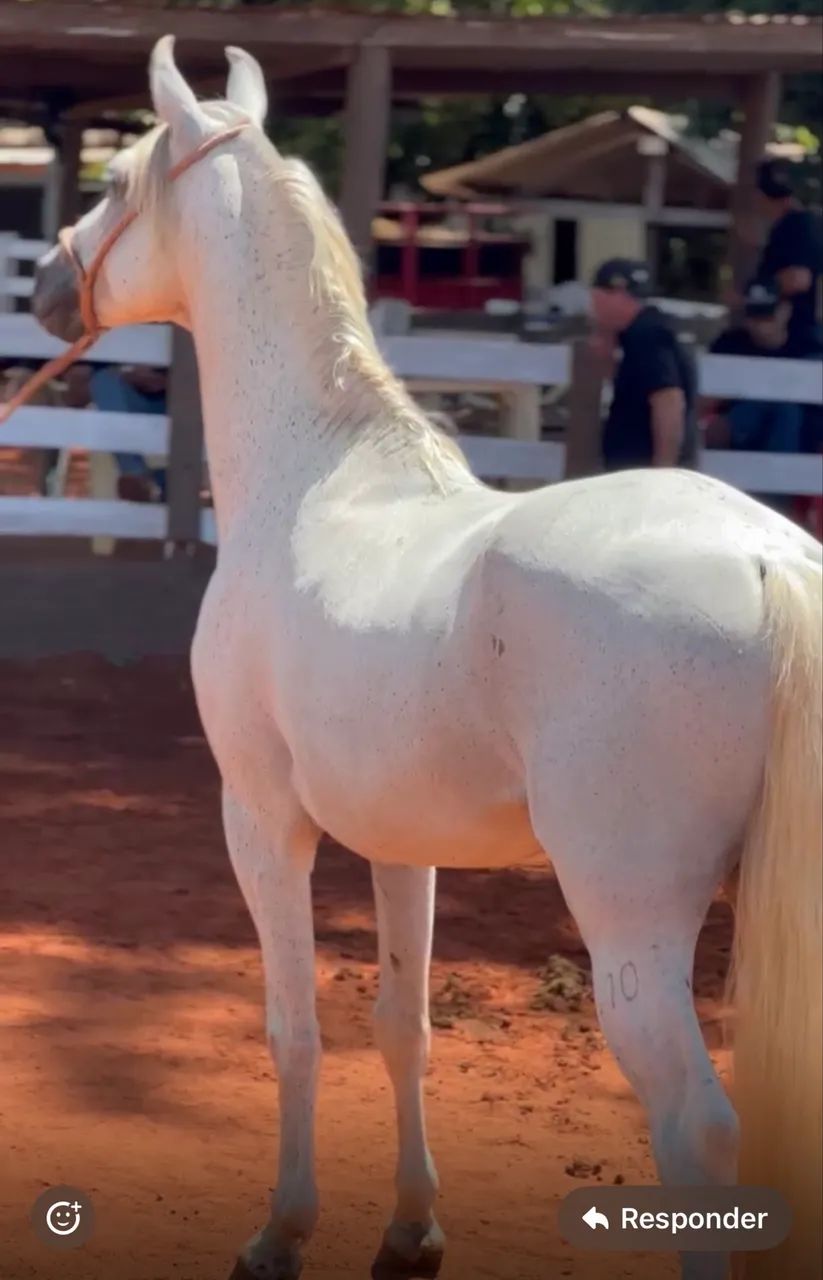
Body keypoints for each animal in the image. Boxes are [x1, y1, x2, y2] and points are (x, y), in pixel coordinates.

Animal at [30, 38, 821, 1280]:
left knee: (695, 1123)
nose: (45, 286)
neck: (314, 475)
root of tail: (764, 557)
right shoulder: (402, 844)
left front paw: (281, 1230)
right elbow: (401, 1026)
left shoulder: (260, 818)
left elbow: (296, 1029)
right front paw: (409, 1228)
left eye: (115, 185)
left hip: (629, 913)